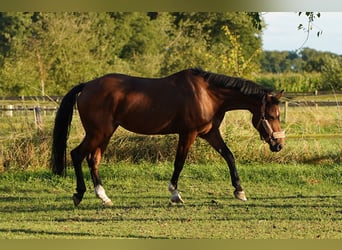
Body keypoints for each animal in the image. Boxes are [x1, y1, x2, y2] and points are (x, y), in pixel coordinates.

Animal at [51, 67, 286, 206]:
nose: (279, 145)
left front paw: (239, 190)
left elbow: (229, 156)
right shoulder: (188, 134)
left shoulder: (210, 133)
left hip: (105, 133)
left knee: (93, 160)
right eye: (271, 115)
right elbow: (179, 163)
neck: (209, 95)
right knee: (77, 155)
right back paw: (79, 194)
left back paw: (103, 196)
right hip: (98, 132)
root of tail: (87, 86)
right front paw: (175, 194)